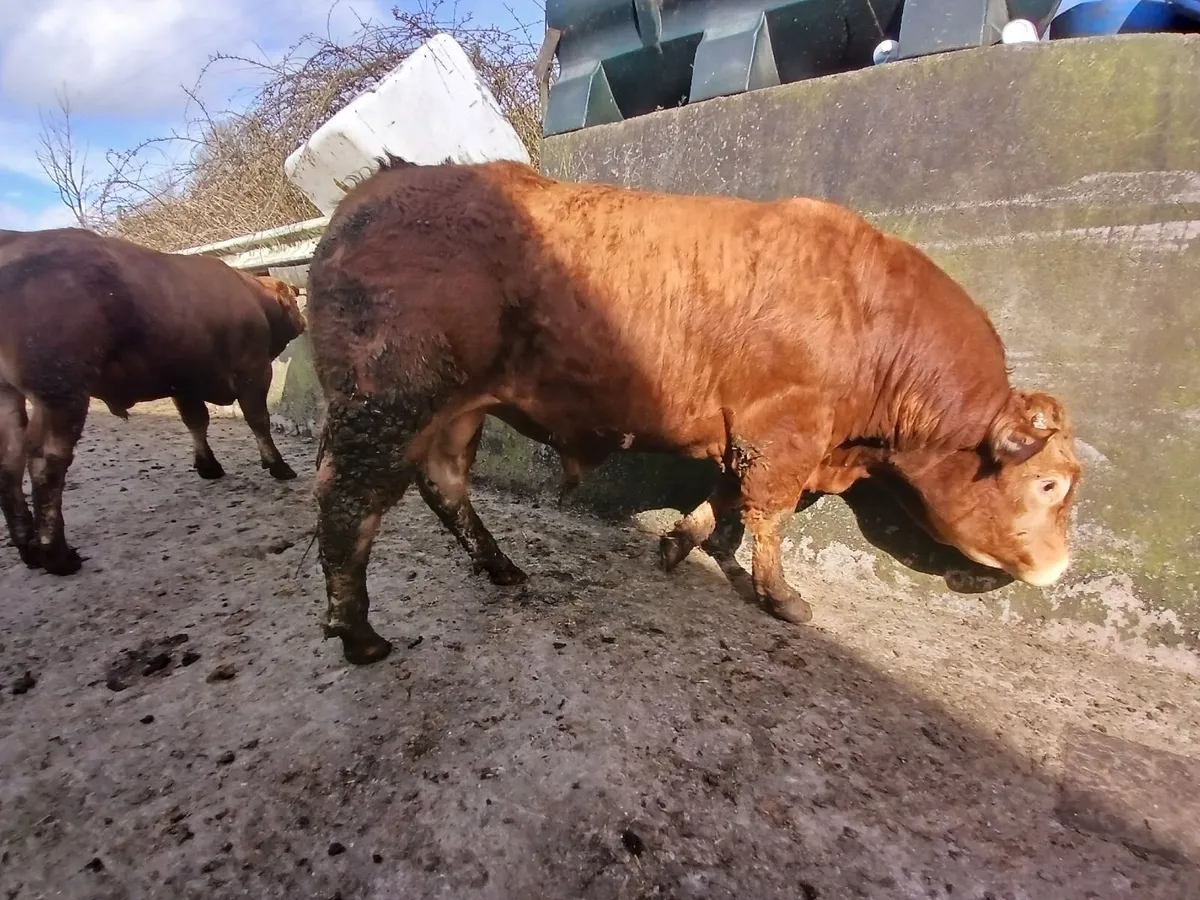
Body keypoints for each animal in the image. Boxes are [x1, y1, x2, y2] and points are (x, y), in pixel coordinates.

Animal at [0, 227, 307, 575]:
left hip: (9, 397)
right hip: (60, 395)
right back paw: (57, 554)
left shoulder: (183, 383)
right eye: (292, 297)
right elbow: (258, 420)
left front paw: (208, 466)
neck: (250, 295)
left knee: (9, 462)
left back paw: (28, 547)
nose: (303, 319)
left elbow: (196, 421)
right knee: (44, 462)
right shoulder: (252, 371)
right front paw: (278, 465)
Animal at [305, 155, 1081, 665]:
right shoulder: (785, 430)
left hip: (455, 409)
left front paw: (677, 542)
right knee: (349, 503)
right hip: (389, 402)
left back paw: (500, 568)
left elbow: (727, 496)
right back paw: (358, 632)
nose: (1060, 567)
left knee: (443, 485)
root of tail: (376, 187)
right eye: (1048, 484)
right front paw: (781, 597)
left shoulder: (751, 433)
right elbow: (766, 516)